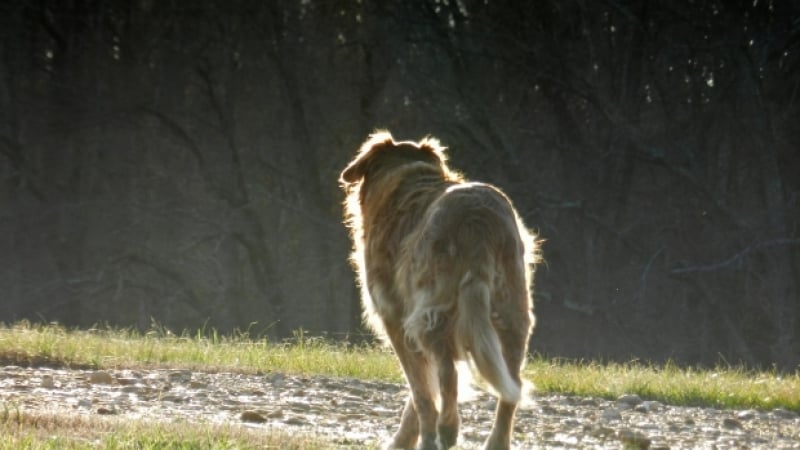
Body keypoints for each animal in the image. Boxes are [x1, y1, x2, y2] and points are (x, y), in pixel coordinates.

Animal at [340, 131, 536, 450]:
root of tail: (478, 220)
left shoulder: (396, 319)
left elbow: (421, 392)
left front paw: (414, 439)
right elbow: (423, 390)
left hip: (433, 308)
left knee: (448, 371)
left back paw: (447, 428)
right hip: (513, 309)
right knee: (511, 386)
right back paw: (495, 441)